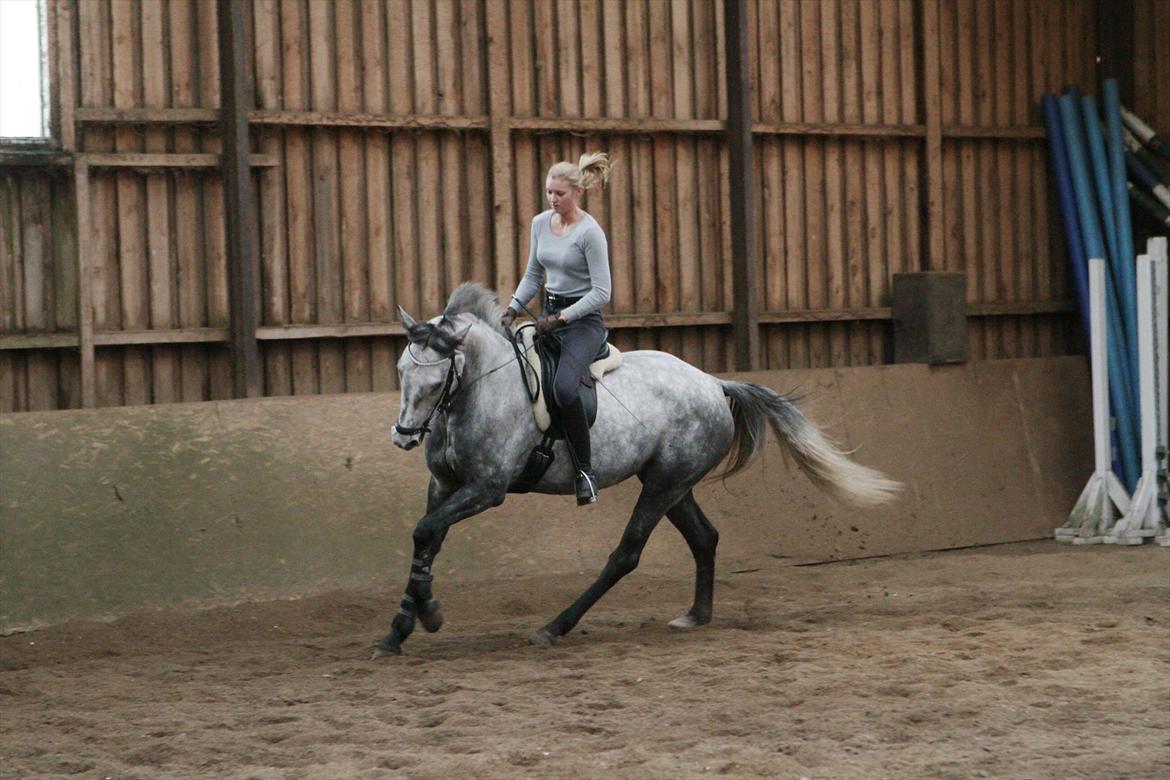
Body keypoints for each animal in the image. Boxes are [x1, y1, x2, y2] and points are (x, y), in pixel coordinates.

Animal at [379, 284, 898, 654]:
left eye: (435, 382)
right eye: (402, 371)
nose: (404, 435)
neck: (478, 391)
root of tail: (713, 383)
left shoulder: (487, 488)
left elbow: (425, 531)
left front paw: (428, 614)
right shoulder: (445, 484)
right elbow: (427, 537)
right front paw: (402, 627)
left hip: (664, 484)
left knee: (626, 554)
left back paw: (554, 627)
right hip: (671, 482)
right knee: (704, 537)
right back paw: (695, 615)